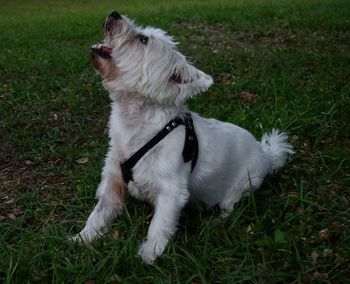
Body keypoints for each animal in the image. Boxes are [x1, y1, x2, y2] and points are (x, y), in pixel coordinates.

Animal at [72, 11, 294, 264]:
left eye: (143, 39)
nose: (114, 14)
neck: (139, 126)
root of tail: (266, 153)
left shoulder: (172, 190)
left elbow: (159, 225)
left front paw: (147, 257)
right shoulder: (113, 179)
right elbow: (100, 212)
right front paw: (83, 237)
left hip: (245, 183)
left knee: (230, 206)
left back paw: (216, 221)